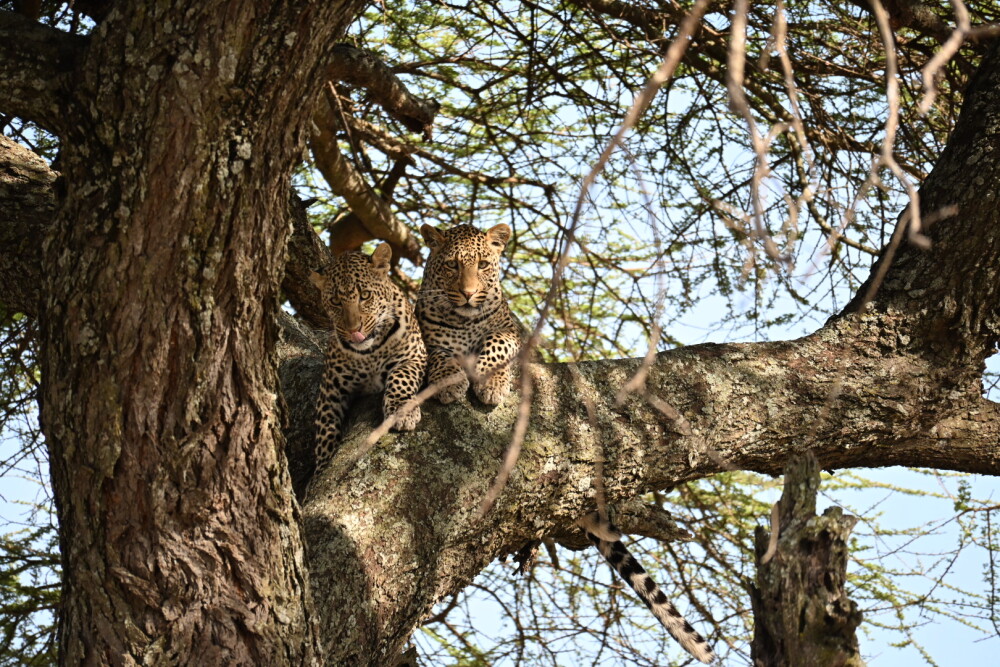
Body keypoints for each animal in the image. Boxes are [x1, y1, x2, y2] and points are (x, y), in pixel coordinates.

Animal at [310, 243, 427, 470]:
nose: (354, 330)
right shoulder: (330, 387)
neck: (370, 353)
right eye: (335, 301)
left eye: (365, 295)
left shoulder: (414, 356)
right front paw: (321, 467)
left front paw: (402, 412)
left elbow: (401, 377)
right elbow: (325, 429)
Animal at [416, 223, 523, 405]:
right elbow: (441, 357)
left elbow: (497, 343)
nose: (468, 293)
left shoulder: (509, 331)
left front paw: (491, 383)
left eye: (483, 264)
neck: (465, 321)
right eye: (452, 264)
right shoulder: (429, 343)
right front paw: (449, 383)